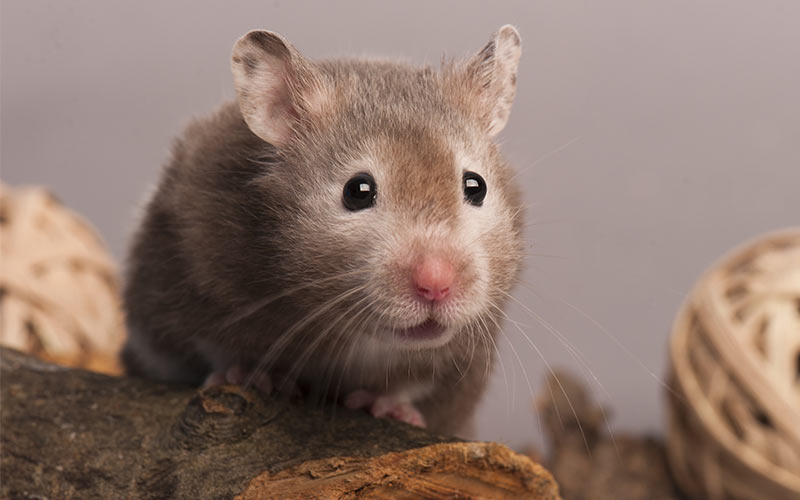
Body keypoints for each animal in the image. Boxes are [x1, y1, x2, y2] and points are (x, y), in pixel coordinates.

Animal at [121, 26, 524, 436]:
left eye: (476, 186)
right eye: (357, 191)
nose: (436, 285)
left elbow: (415, 383)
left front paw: (387, 406)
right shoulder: (180, 283)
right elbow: (205, 346)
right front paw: (256, 377)